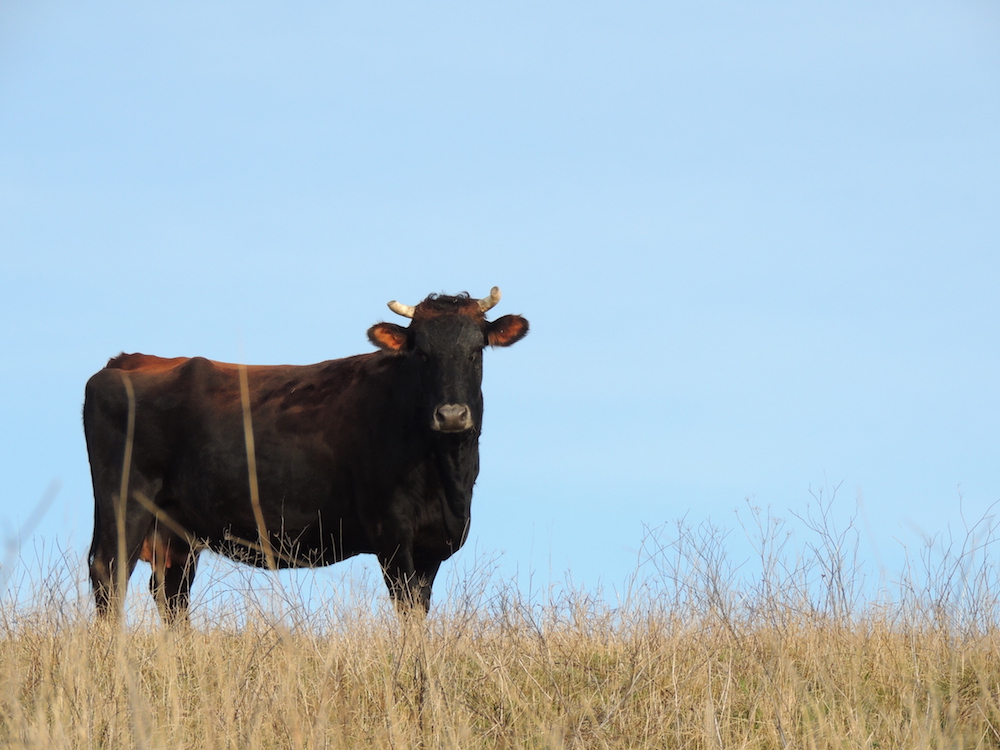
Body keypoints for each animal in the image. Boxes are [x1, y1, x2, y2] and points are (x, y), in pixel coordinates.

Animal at [84, 288, 532, 624]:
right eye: (421, 352)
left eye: (476, 350)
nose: (452, 415)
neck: (446, 477)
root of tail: (129, 361)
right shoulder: (392, 536)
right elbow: (405, 610)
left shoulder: (432, 545)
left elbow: (419, 611)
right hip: (123, 502)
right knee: (109, 575)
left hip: (176, 525)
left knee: (171, 591)